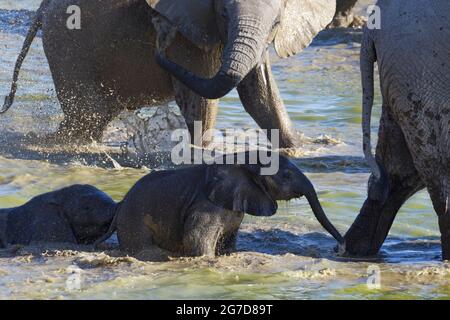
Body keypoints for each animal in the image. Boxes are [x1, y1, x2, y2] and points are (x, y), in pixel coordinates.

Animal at [1, 0, 336, 148]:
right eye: (223, 13)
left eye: (278, 22)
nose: (160, 36)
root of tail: (41, 9)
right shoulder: (188, 33)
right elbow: (202, 100)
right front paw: (205, 153)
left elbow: (260, 95)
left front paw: (300, 149)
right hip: (67, 42)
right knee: (89, 115)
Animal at [97, 152, 344, 260]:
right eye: (286, 175)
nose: (339, 247)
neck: (245, 158)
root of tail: (119, 207)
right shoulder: (206, 205)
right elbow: (196, 239)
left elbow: (228, 240)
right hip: (133, 220)